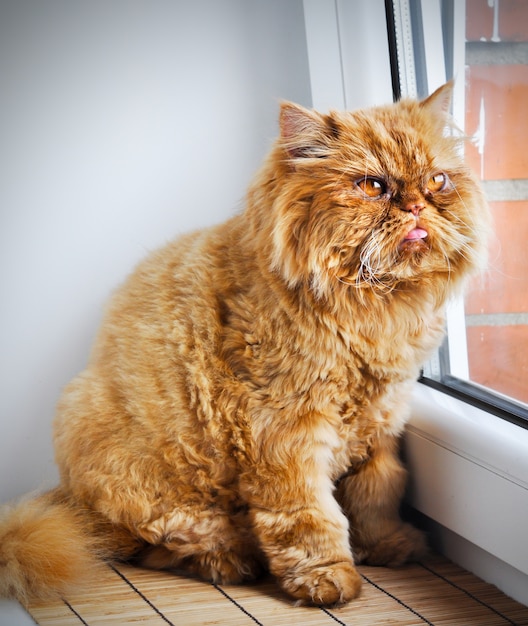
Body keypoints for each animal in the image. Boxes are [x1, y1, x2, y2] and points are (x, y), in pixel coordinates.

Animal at [0, 83, 488, 604]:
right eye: (373, 186)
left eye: (437, 180)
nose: (417, 206)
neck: (372, 307)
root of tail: (72, 501)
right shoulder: (284, 432)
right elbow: (311, 520)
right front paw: (327, 579)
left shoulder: (382, 420)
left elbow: (378, 494)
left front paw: (388, 544)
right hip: (141, 475)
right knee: (163, 545)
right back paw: (231, 560)